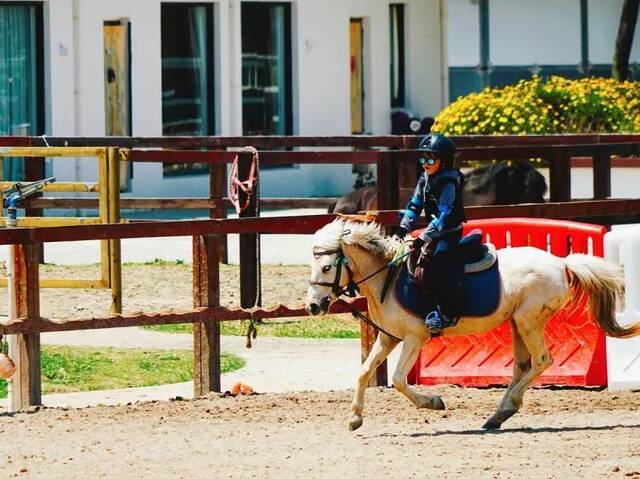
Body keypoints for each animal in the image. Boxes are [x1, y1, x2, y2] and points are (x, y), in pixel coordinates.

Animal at [306, 219, 640, 434]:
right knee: (523, 366)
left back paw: (505, 409)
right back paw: (498, 415)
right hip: (518, 324)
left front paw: (433, 402)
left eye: (327, 267)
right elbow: (364, 373)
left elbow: (399, 380)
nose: (312, 306)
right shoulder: (390, 339)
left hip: (529, 321)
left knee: (542, 361)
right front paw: (354, 419)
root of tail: (562, 263)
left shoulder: (414, 338)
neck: (389, 277)